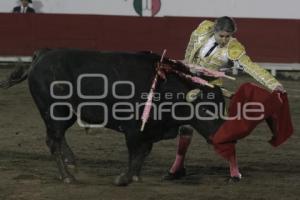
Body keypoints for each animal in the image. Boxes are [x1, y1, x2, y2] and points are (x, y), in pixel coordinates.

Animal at [0, 49, 225, 187]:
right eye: (206, 110)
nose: (221, 138)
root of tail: (41, 56)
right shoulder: (134, 129)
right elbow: (135, 152)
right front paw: (124, 178)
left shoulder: (150, 130)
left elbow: (144, 152)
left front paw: (135, 176)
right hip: (54, 112)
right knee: (53, 141)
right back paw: (68, 177)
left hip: (67, 114)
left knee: (59, 137)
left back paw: (72, 163)